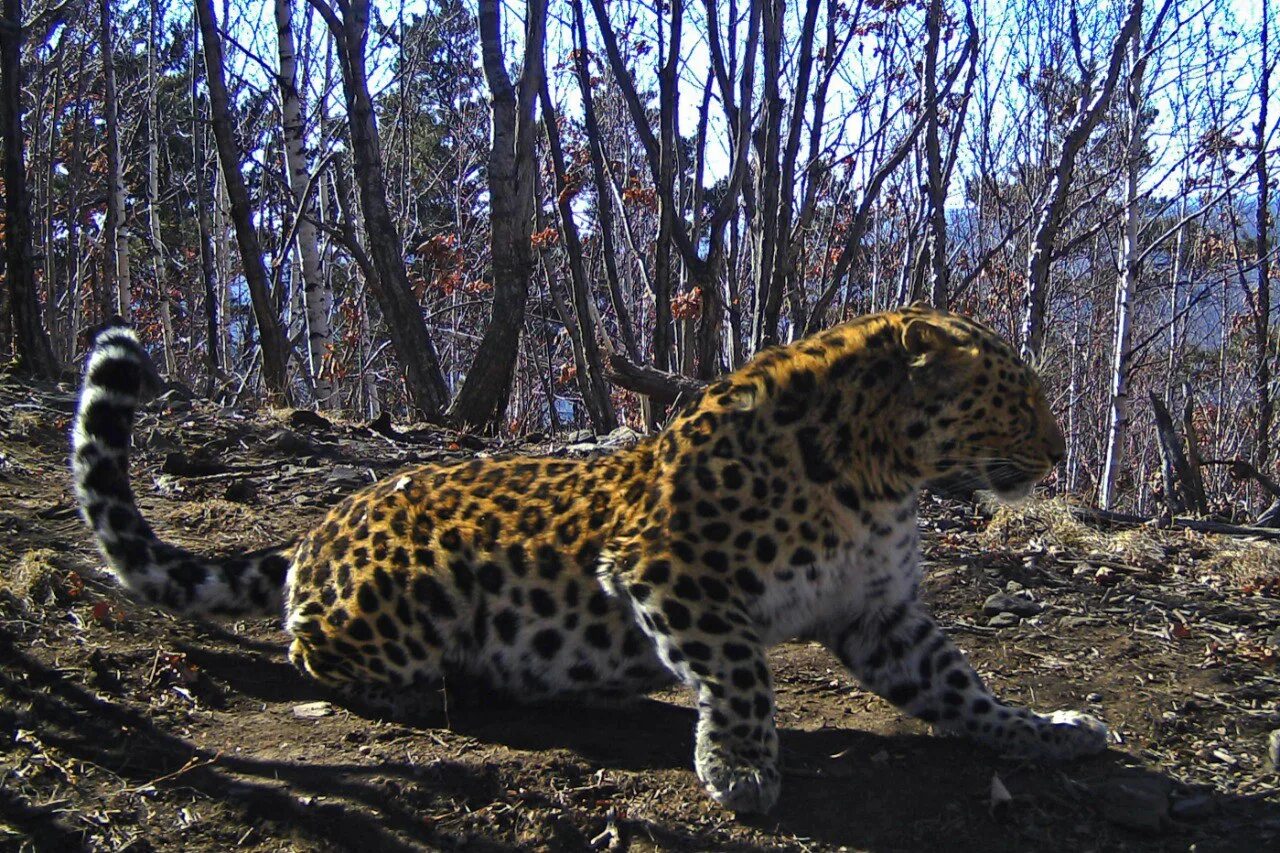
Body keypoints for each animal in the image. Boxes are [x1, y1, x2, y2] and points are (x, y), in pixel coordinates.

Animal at [72, 303, 1111, 809]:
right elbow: (744, 671)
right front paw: (741, 767)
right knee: (306, 646)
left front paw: (1048, 730)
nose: (1063, 453)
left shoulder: (881, 613)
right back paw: (424, 690)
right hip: (402, 597)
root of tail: (315, 529)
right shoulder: (664, 566)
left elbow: (965, 689)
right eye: (1017, 398)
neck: (883, 474)